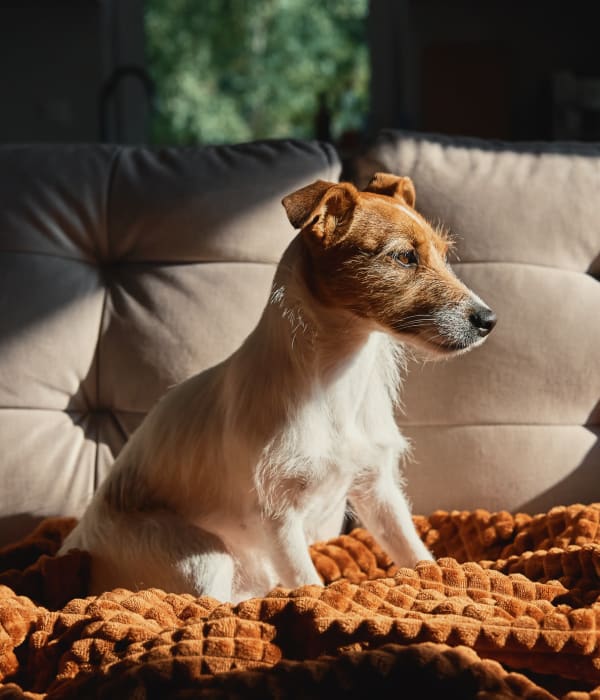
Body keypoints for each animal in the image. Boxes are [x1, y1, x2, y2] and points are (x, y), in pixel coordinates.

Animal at [59, 174, 496, 600]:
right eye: (404, 257)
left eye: (444, 254)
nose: (489, 320)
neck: (338, 378)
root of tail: (75, 547)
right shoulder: (277, 516)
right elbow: (308, 584)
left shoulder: (376, 487)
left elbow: (413, 551)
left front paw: (438, 576)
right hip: (201, 556)